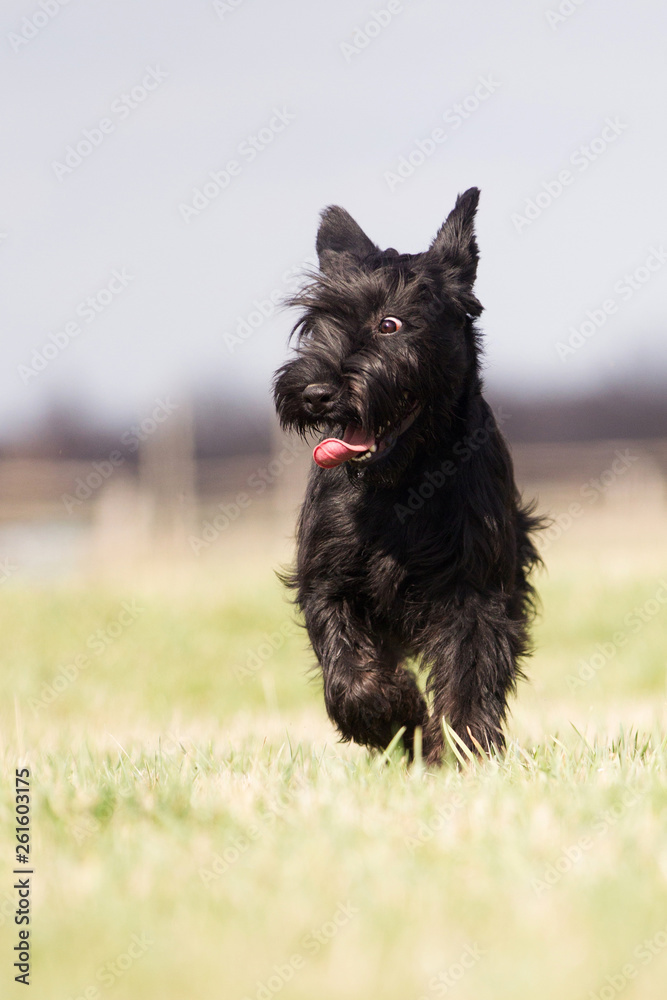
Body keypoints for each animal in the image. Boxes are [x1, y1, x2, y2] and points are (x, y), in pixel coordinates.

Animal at [274, 189, 540, 764]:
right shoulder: (328, 580)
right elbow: (347, 671)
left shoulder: (473, 589)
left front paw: (461, 751)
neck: (400, 486)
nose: (316, 393)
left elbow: (468, 675)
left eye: (390, 324)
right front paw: (396, 715)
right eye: (318, 325)